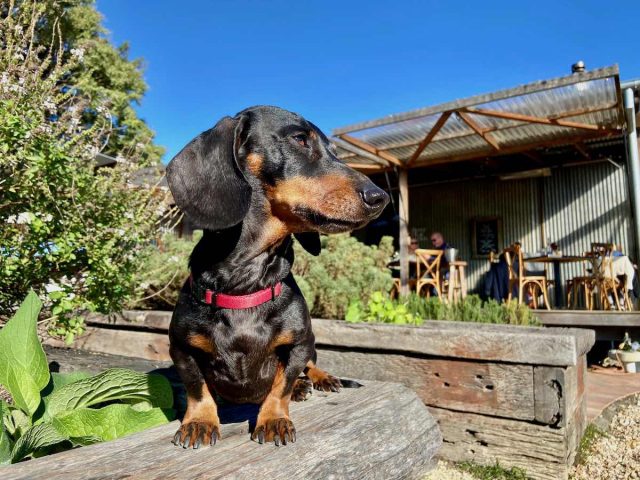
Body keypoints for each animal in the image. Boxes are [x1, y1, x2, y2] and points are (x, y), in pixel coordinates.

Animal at [165, 106, 388, 450]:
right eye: (299, 139)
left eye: (335, 151)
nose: (380, 197)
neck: (247, 283)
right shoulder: (181, 347)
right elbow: (197, 387)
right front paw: (199, 421)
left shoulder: (299, 344)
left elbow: (280, 385)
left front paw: (273, 419)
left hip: (311, 346)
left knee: (309, 366)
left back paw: (319, 380)